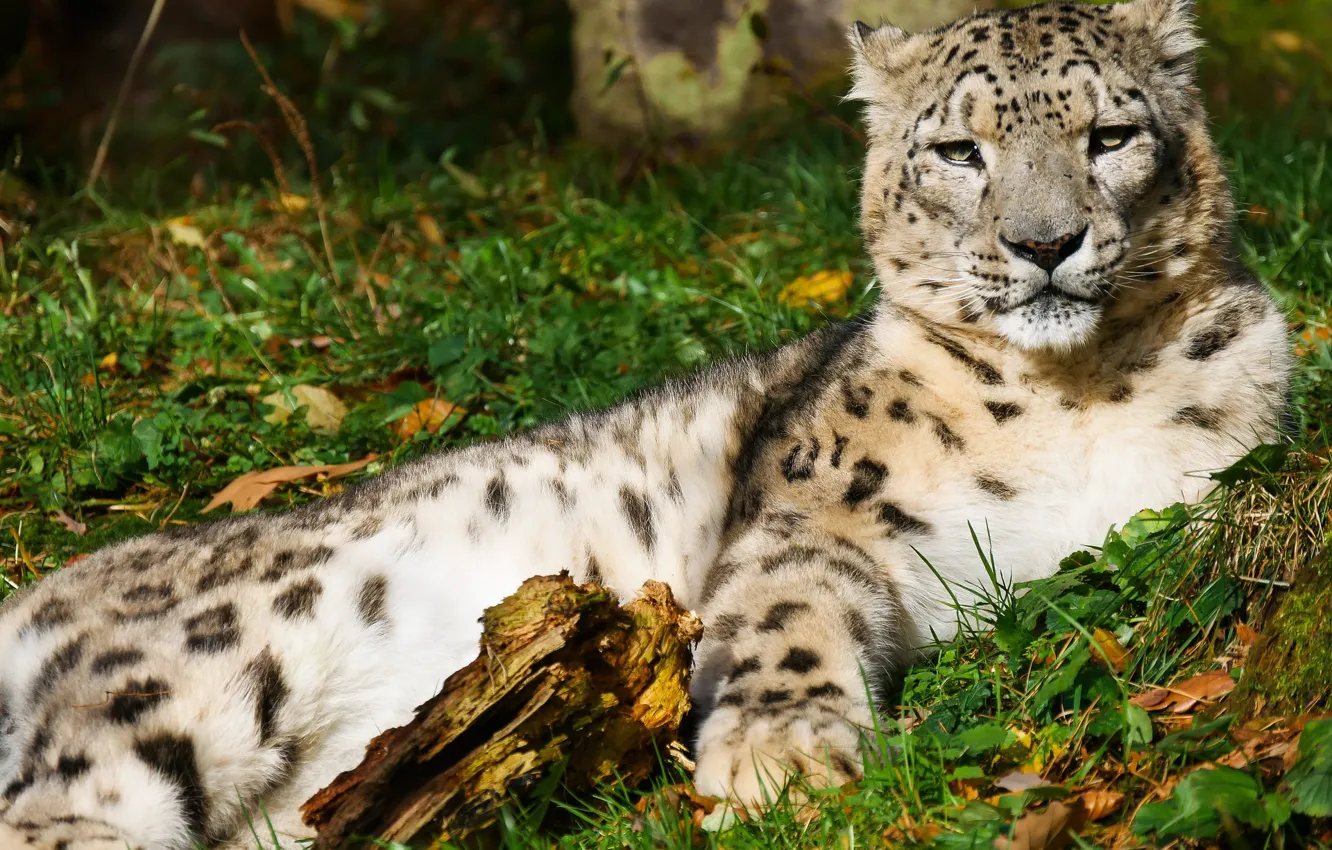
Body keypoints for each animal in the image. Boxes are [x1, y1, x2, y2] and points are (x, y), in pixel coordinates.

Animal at [0, 0, 1293, 846]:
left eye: (1109, 137)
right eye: (958, 149)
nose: (1044, 242)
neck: (1076, 395)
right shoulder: (823, 514)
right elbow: (783, 620)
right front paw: (780, 764)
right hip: (188, 675)